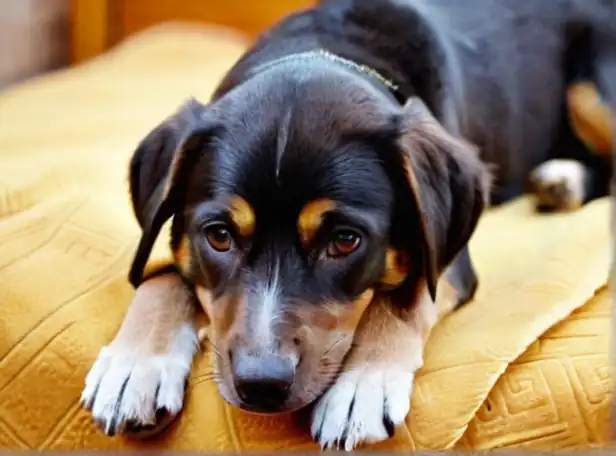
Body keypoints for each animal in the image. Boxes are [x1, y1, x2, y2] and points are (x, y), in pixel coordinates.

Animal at [82, 0, 616, 448]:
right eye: (219, 236)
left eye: (344, 241)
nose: (261, 383)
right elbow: (162, 276)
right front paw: (135, 365)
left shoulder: (447, 258)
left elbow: (402, 296)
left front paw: (362, 386)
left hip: (593, 86)